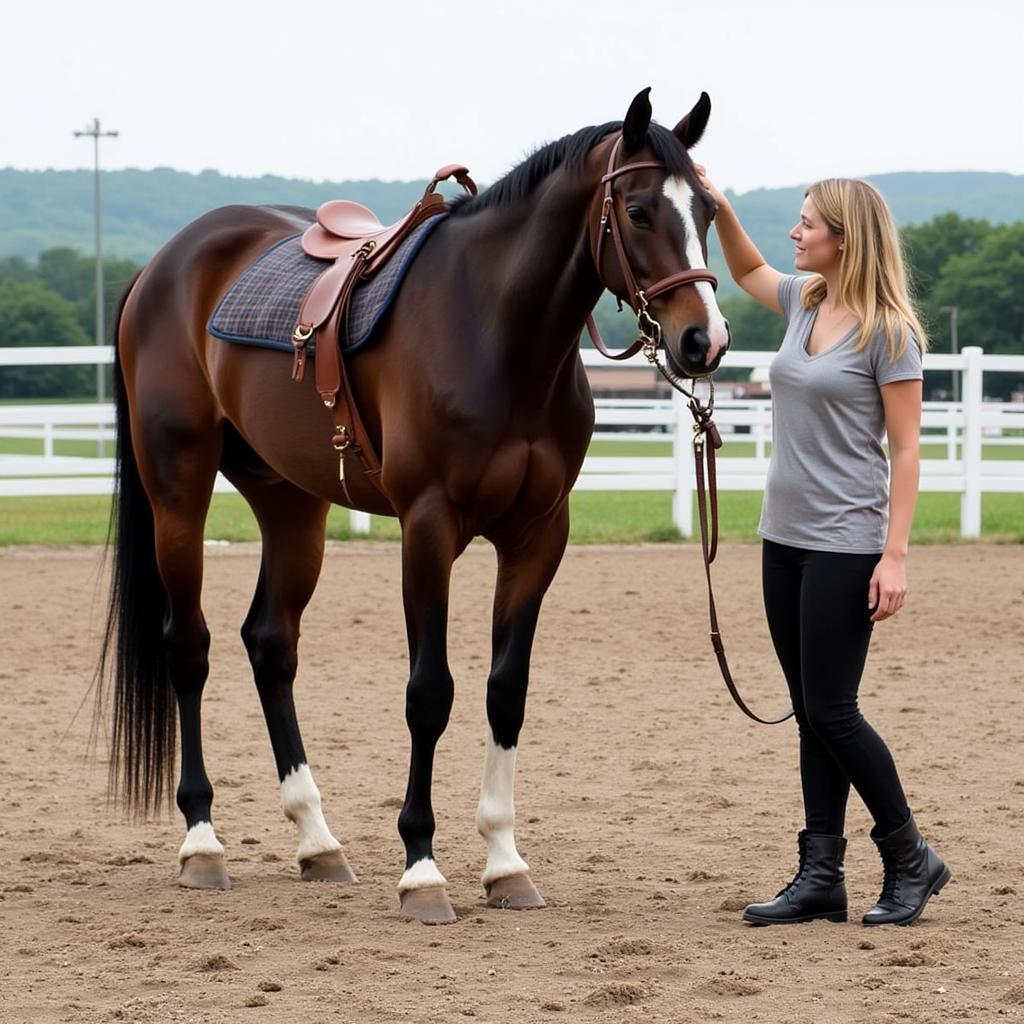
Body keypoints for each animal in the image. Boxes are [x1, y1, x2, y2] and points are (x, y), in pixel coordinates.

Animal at [101, 86, 729, 921]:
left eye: (710, 210)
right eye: (635, 210)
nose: (704, 341)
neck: (495, 331)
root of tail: (163, 265)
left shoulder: (538, 536)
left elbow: (505, 692)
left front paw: (504, 862)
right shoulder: (428, 529)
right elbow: (430, 693)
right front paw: (423, 869)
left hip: (291, 503)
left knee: (270, 644)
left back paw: (318, 841)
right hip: (179, 488)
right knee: (189, 648)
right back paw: (203, 842)